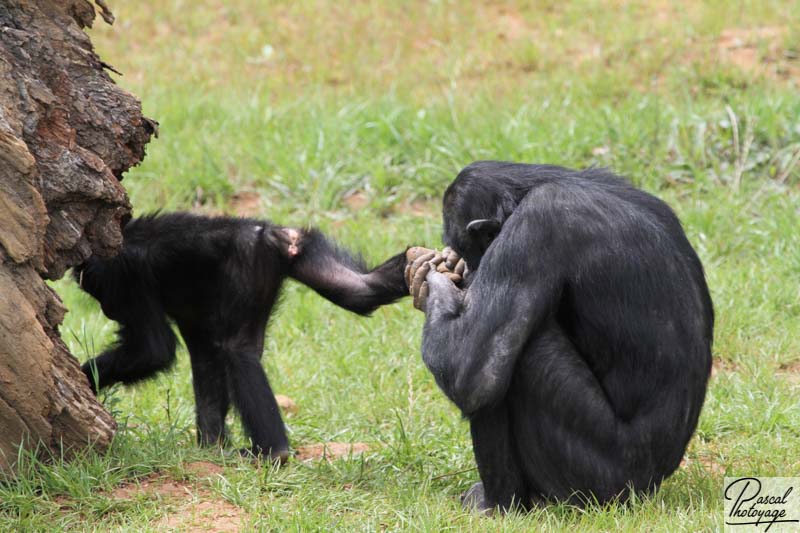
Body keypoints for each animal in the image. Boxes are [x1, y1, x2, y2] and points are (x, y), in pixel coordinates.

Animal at [74, 212, 406, 462]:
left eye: (96, 289)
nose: (107, 309)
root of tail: (273, 235)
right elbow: (203, 356)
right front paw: (210, 444)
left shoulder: (126, 275)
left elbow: (154, 349)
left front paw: (86, 378)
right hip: (302, 255)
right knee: (359, 290)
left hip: (249, 268)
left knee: (238, 350)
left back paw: (273, 451)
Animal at [406, 159, 712, 512]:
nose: (468, 266)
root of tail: (651, 488)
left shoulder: (534, 229)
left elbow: (471, 371)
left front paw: (435, 284)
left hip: (599, 484)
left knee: (515, 362)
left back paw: (499, 504)